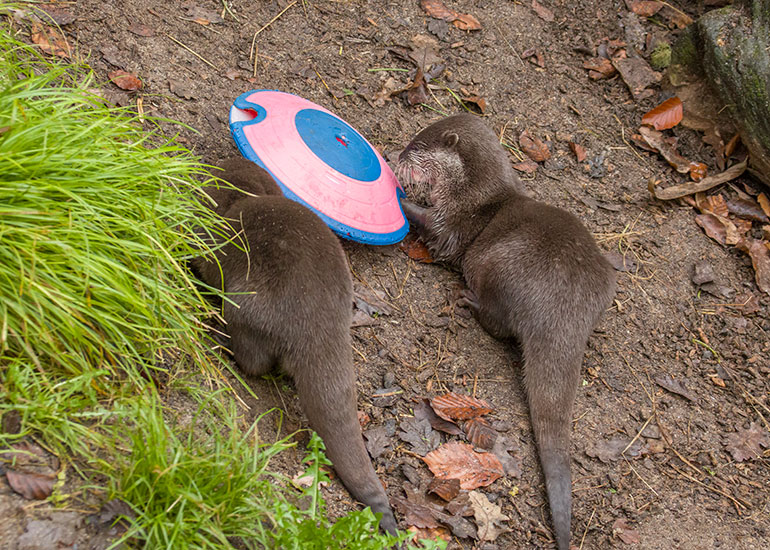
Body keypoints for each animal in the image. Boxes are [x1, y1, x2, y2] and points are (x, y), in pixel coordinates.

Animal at [193, 157, 397, 534]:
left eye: (216, 168)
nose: (211, 161)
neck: (244, 198)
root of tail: (319, 328)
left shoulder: (212, 239)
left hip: (246, 306)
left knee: (254, 361)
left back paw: (221, 340)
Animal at [396, 114, 616, 550]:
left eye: (417, 145)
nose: (397, 155)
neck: (473, 191)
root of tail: (566, 310)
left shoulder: (455, 222)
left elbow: (437, 231)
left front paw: (398, 195)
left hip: (496, 264)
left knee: (498, 322)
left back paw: (469, 300)